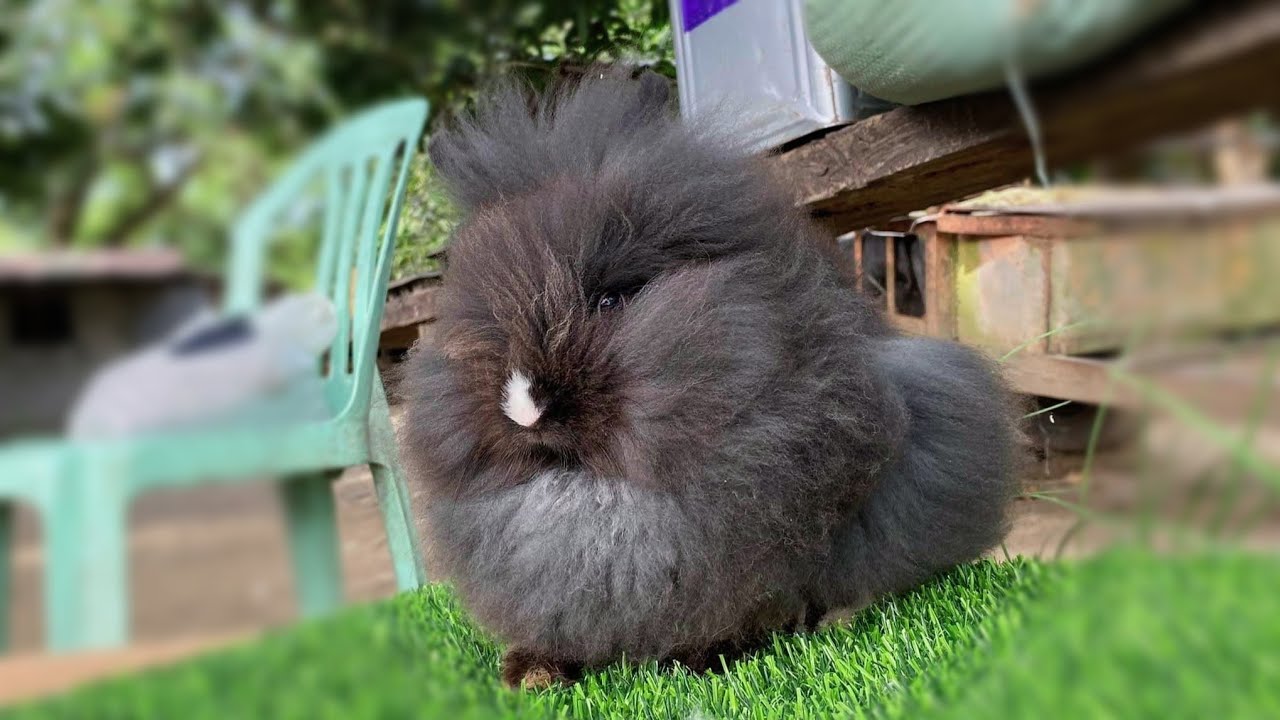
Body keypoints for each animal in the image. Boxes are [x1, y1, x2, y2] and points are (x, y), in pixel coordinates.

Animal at [398, 66, 1017, 688]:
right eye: (475, 317)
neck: (590, 491)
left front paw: (705, 657)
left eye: (610, 300)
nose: (524, 406)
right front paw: (531, 673)